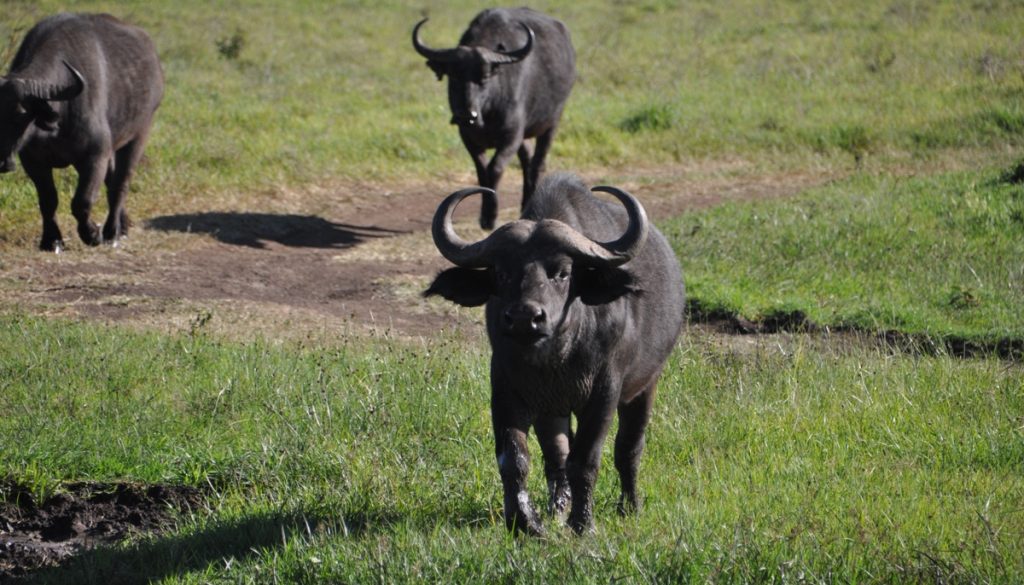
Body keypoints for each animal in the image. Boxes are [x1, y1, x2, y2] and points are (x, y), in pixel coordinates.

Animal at [0, 13, 162, 252]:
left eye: (20, 112)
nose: (2, 161)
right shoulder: (33, 161)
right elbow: (48, 200)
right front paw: (52, 240)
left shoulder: (94, 156)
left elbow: (82, 201)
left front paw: (93, 234)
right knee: (111, 181)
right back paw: (122, 225)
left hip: (139, 135)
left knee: (120, 184)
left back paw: (112, 232)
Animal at [413, 8, 577, 231]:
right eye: (454, 76)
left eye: (484, 77)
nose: (467, 115)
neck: (486, 114)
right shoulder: (468, 137)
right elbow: (482, 171)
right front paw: (485, 216)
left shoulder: (511, 136)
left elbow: (495, 168)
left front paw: (491, 216)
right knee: (527, 159)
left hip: (551, 122)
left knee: (538, 162)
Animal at [423, 173, 688, 536]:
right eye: (502, 273)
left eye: (562, 272)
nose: (525, 317)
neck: (556, 360)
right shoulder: (507, 389)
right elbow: (515, 458)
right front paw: (525, 522)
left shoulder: (604, 392)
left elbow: (586, 459)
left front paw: (583, 523)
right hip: (553, 409)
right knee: (557, 454)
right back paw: (558, 506)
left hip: (645, 386)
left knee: (629, 447)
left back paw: (629, 505)